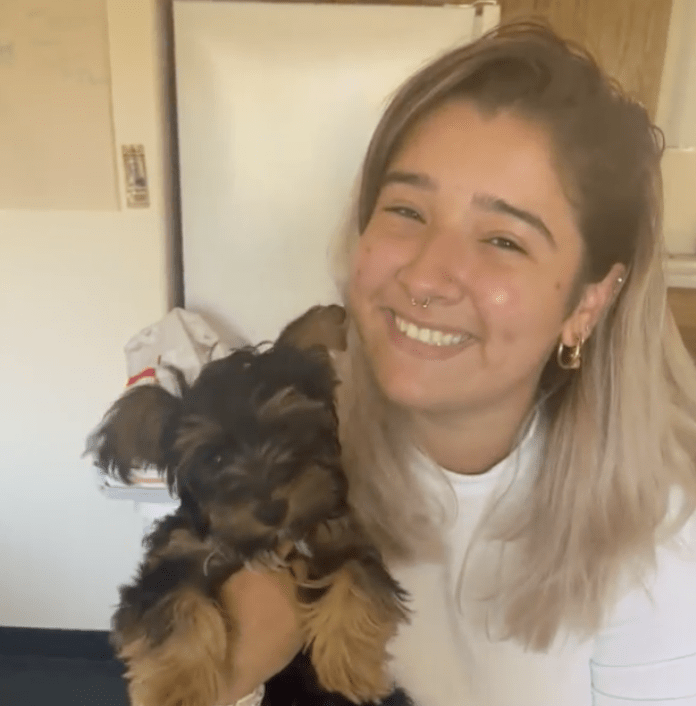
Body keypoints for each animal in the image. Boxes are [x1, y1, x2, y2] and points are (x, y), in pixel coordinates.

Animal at [87, 306, 414, 704]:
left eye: (286, 430)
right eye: (214, 459)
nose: (272, 510)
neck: (264, 543)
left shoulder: (339, 536)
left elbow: (357, 576)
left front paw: (352, 667)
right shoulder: (175, 558)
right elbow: (176, 605)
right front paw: (177, 688)